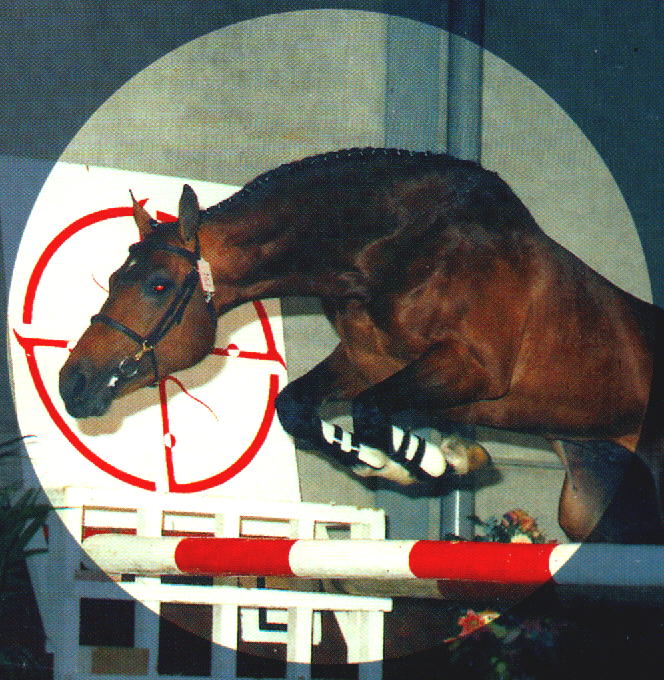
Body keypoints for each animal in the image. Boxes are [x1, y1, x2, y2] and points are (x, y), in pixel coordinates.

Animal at [59, 148, 664, 544]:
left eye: (158, 286)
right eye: (113, 279)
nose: (72, 383)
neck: (395, 247)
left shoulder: (470, 368)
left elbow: (373, 411)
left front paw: (439, 461)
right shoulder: (366, 361)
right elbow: (298, 406)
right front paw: (389, 462)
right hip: (592, 493)